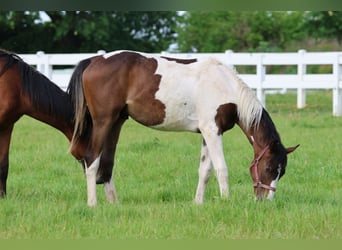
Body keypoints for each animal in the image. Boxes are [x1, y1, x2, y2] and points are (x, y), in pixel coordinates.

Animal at [67, 49, 300, 206]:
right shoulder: (212, 131)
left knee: (107, 163)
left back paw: (114, 203)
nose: (266, 201)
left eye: (282, 172)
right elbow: (221, 169)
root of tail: (94, 60)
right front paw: (226, 201)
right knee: (92, 159)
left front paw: (198, 203)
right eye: (269, 168)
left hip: (117, 122)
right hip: (103, 122)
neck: (227, 88)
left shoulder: (207, 133)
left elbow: (205, 171)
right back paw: (92, 204)